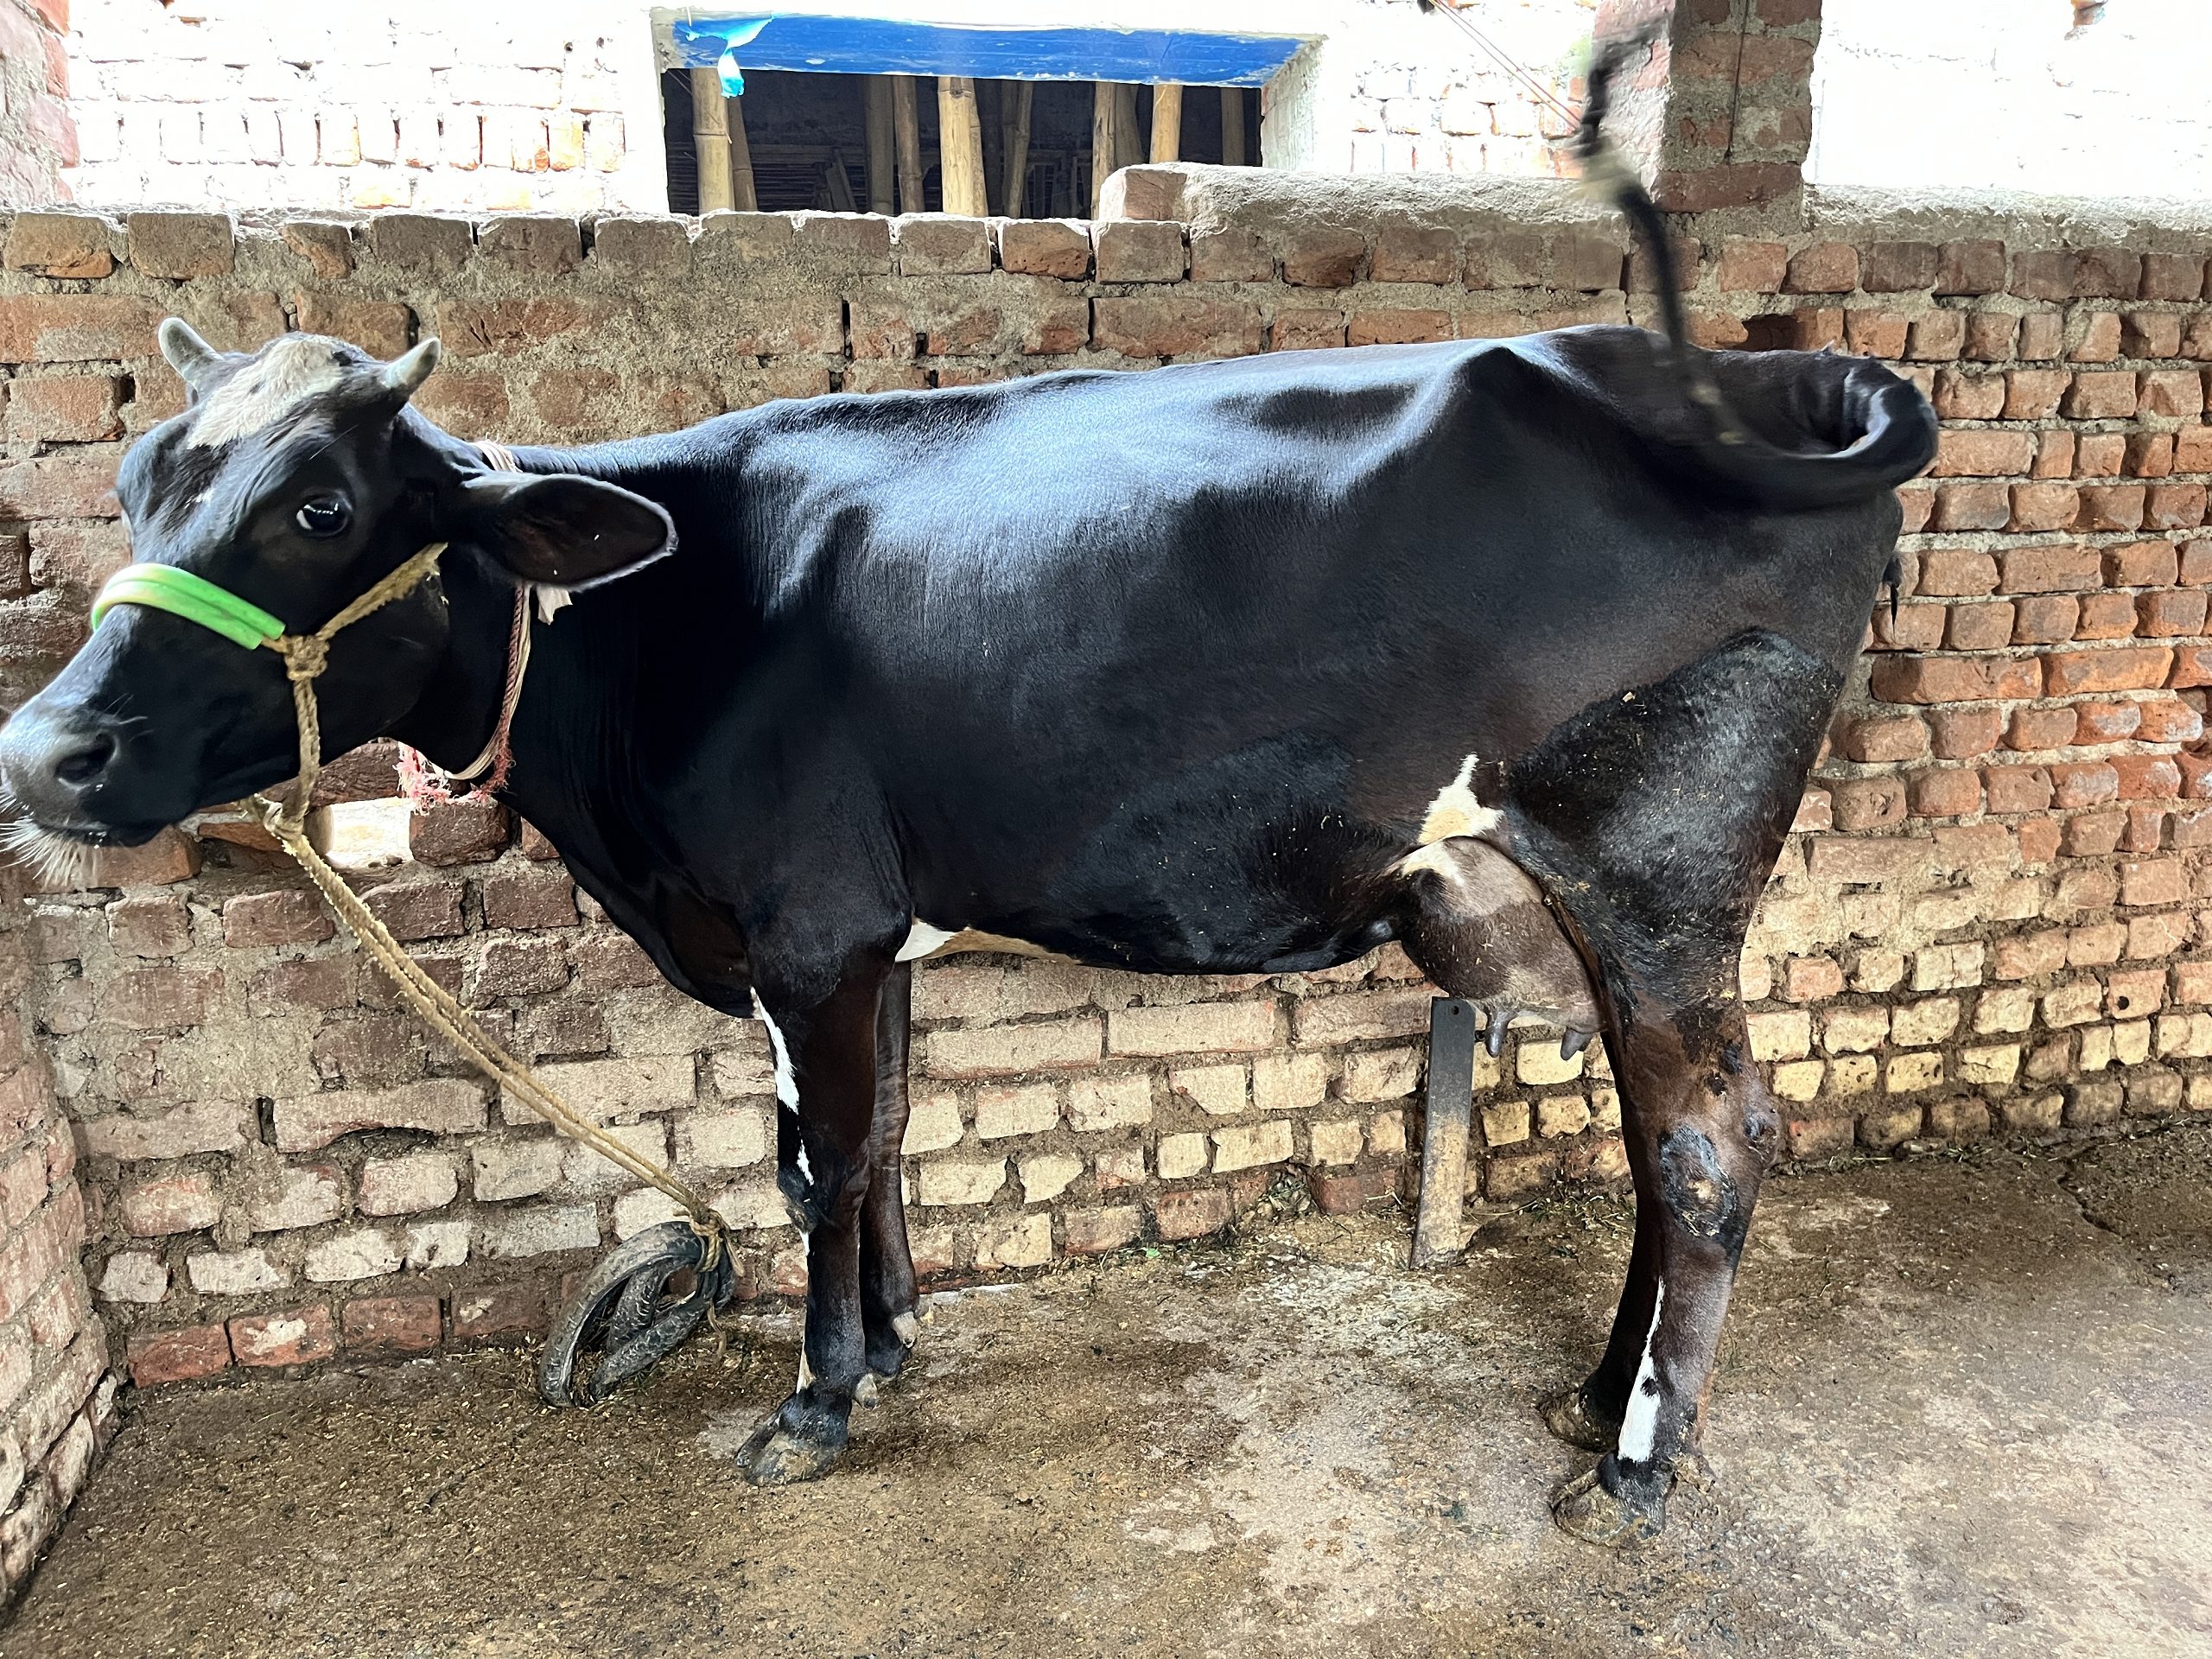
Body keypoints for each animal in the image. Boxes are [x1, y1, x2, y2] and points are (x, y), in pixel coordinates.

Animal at [0, 51, 1934, 1544]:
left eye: (321, 505)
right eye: (139, 475)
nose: (43, 754)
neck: (659, 634)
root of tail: (1745, 370)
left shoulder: (804, 924)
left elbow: (813, 1160)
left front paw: (815, 1399)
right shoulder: (870, 932)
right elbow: (871, 1144)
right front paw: (893, 1338)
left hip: (1656, 871)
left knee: (1707, 1154)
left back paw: (1636, 1472)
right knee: (1666, 1147)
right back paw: (1600, 1402)